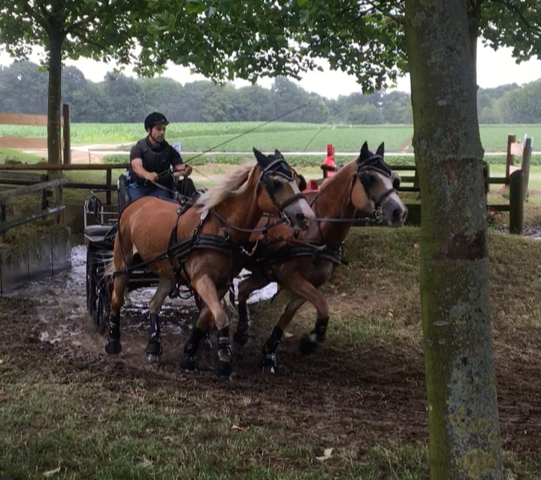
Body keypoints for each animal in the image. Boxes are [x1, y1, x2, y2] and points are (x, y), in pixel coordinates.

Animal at [106, 148, 314, 380]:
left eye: (298, 180)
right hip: (122, 262)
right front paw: (224, 360)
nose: (306, 216)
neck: (221, 228)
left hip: (168, 272)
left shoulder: (221, 283)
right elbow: (221, 317)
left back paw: (153, 346)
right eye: (276, 183)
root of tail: (135, 205)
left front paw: (190, 354)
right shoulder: (201, 280)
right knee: (116, 299)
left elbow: (205, 318)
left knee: (154, 304)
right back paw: (113, 342)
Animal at [234, 142, 408, 372]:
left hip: (263, 273)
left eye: (393, 177)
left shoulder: (309, 283)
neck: (318, 231)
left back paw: (241, 333)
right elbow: (323, 305)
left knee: (243, 289)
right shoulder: (290, 277)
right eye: (370, 178)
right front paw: (311, 341)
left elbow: (290, 315)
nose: (400, 212)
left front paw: (270, 353)